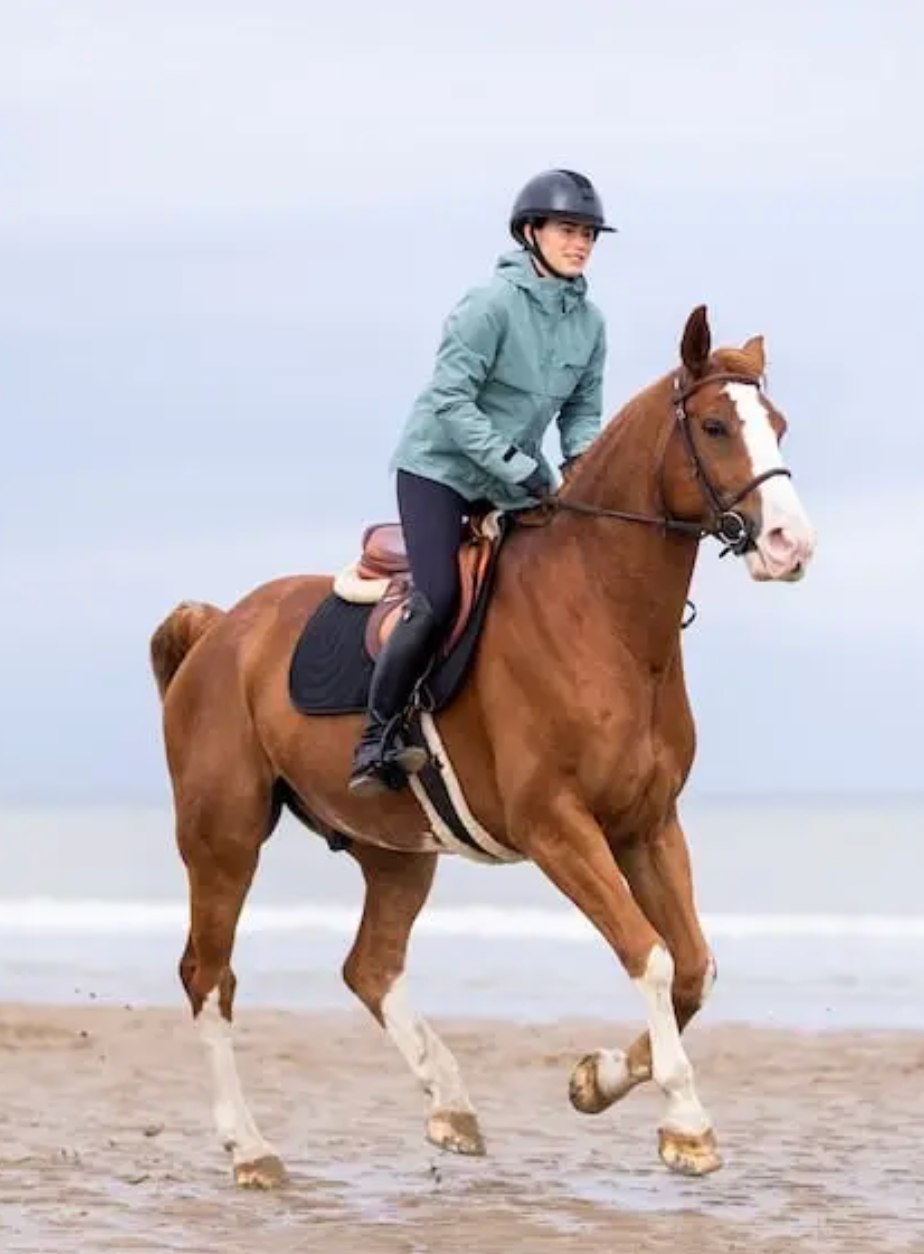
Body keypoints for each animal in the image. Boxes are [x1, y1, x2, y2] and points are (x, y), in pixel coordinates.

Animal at [149, 304, 816, 1190]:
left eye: (777, 424)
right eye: (714, 426)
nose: (790, 546)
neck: (604, 618)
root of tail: (220, 628)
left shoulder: (648, 825)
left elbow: (692, 965)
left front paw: (596, 1080)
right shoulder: (558, 827)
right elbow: (649, 955)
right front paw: (686, 1124)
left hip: (396, 850)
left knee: (369, 966)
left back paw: (450, 1105)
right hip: (223, 835)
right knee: (209, 976)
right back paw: (251, 1148)